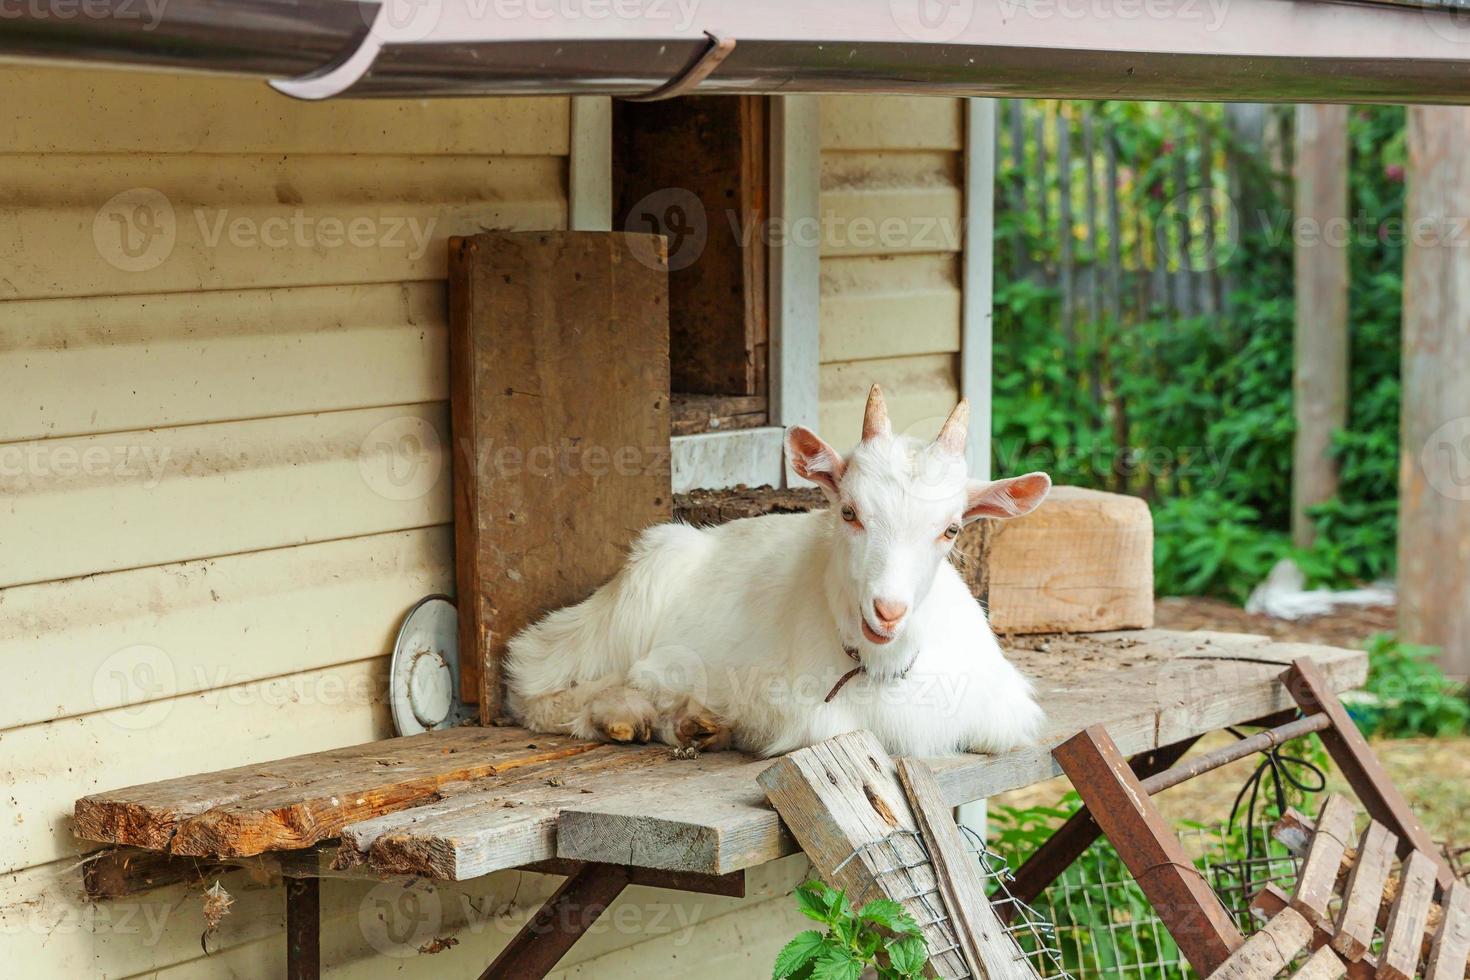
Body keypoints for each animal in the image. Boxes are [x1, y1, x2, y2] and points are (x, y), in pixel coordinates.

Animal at [502, 384, 1046, 758]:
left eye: (951, 529)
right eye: (849, 512)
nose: (888, 611)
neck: (882, 667)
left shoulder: (1001, 713)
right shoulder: (802, 714)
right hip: (626, 606)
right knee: (534, 683)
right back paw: (628, 713)